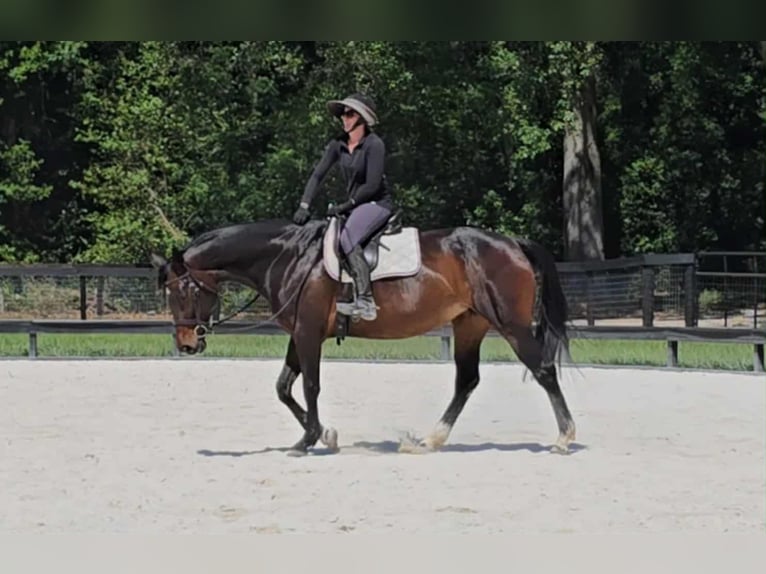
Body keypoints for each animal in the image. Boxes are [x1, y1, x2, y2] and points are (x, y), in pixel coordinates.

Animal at [150, 214, 576, 457]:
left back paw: (563, 438)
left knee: (543, 370)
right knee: (466, 380)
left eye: (184, 291)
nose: (186, 344)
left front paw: (309, 440)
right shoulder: (299, 333)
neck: (289, 257)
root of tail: (512, 243)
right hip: (469, 324)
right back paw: (430, 440)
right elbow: (284, 387)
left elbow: (310, 386)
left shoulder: (308, 334)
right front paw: (325, 434)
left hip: (511, 325)